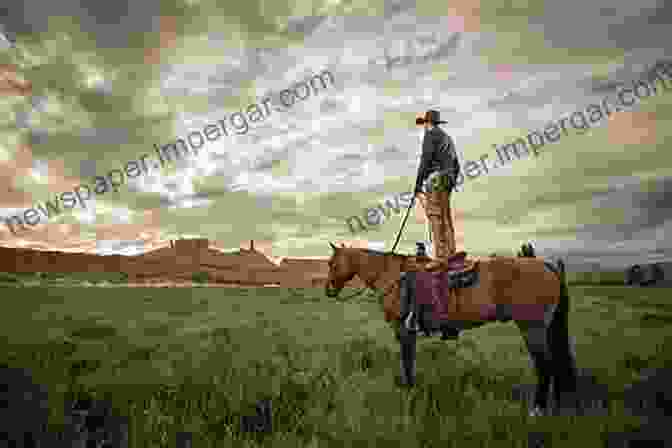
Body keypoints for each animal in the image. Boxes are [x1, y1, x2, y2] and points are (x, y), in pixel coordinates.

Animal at [326, 245, 576, 416]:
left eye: (331, 263)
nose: (328, 290)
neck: (391, 277)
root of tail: (547, 266)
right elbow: (409, 360)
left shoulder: (404, 330)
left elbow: (406, 361)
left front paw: (408, 389)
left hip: (532, 329)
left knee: (545, 366)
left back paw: (537, 409)